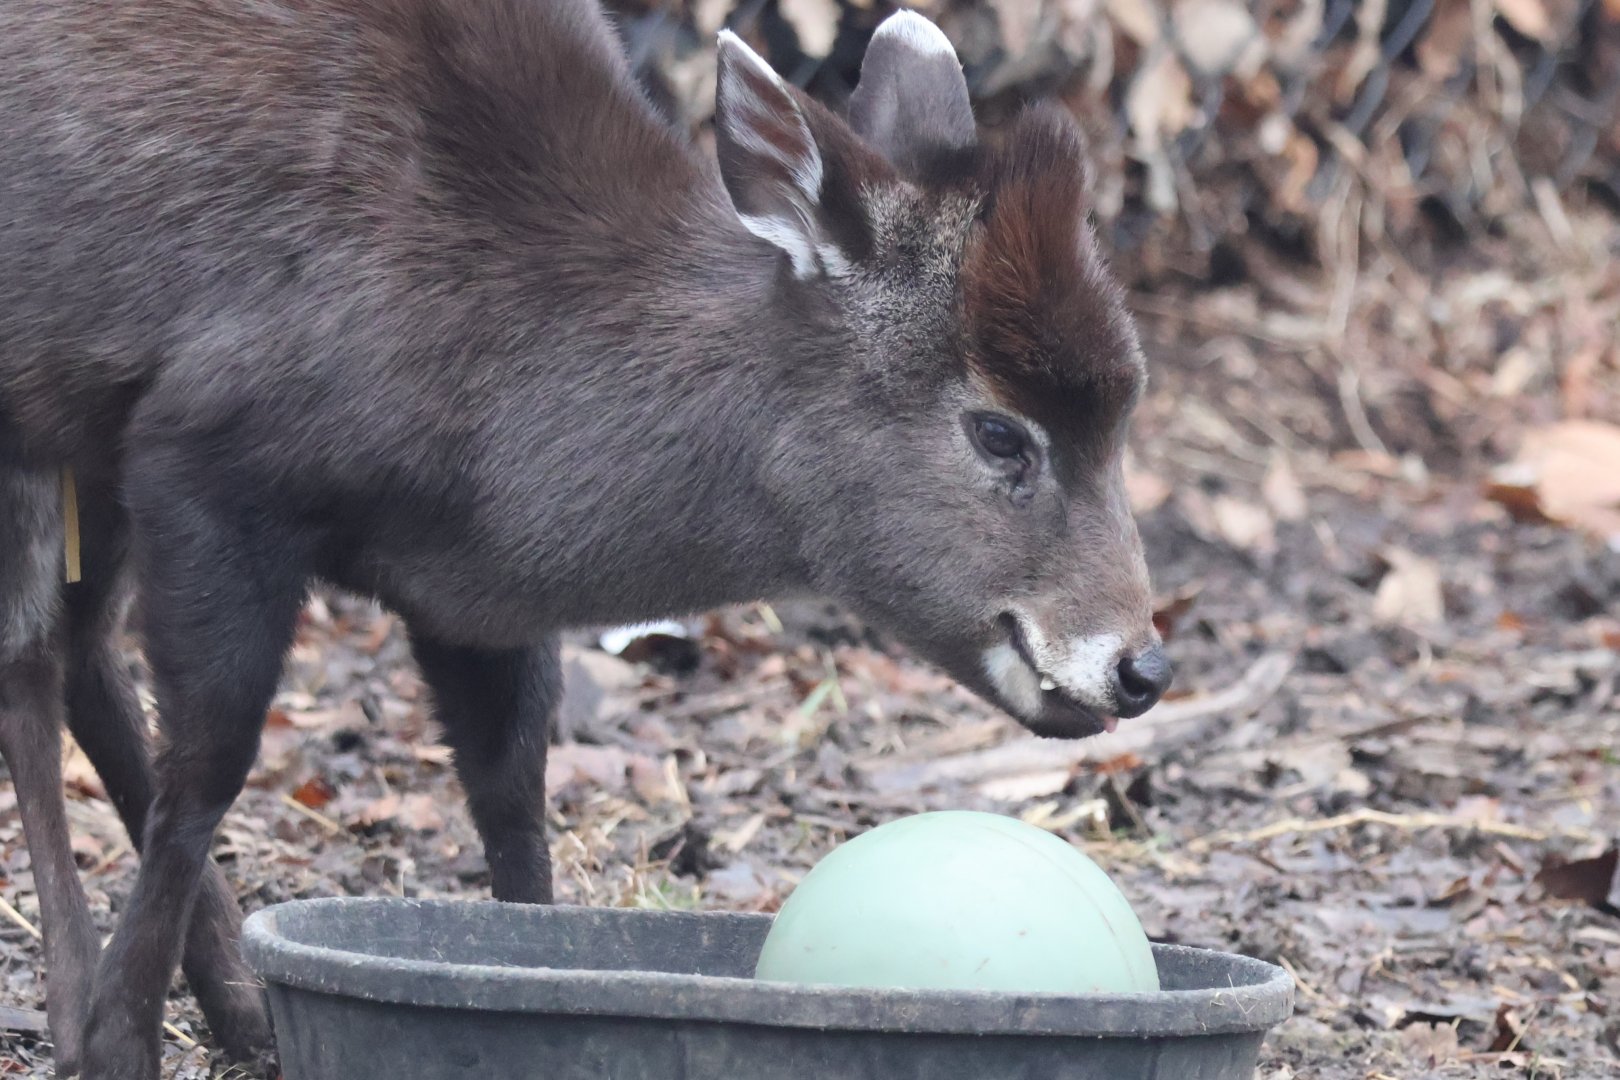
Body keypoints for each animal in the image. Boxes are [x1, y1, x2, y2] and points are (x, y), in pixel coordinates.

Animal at [0, 0, 1172, 1075]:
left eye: (1126, 410)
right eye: (998, 431)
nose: (1140, 665)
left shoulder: (472, 596)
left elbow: (513, 800)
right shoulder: (204, 457)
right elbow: (206, 767)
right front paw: (116, 1042)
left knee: (81, 649)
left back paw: (233, 1006)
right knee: (37, 659)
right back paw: (77, 999)